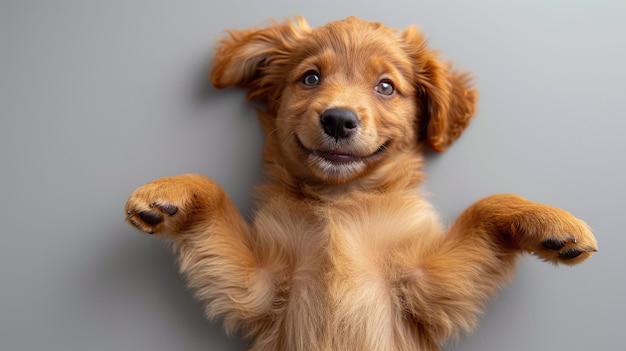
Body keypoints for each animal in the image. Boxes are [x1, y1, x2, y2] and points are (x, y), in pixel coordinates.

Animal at [123, 17, 596, 351]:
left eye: (385, 86)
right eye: (311, 78)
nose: (337, 119)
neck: (341, 205)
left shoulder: (427, 284)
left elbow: (485, 206)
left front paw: (551, 223)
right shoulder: (257, 283)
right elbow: (215, 192)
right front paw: (168, 191)